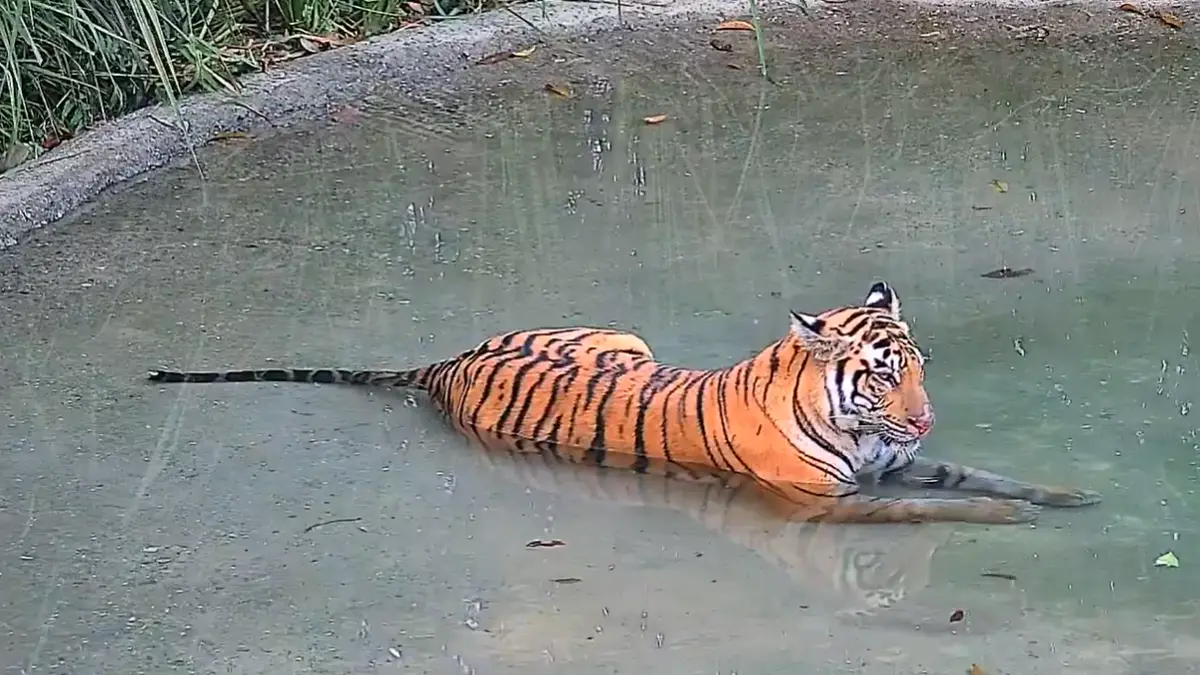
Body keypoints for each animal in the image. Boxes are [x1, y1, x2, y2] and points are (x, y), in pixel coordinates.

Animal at [146, 281, 1101, 525]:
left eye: (918, 368)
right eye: (881, 372)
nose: (926, 415)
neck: (860, 429)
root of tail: (447, 363)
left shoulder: (900, 463)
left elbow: (981, 474)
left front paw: (1064, 495)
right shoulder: (831, 503)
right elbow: (945, 505)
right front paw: (1010, 520)